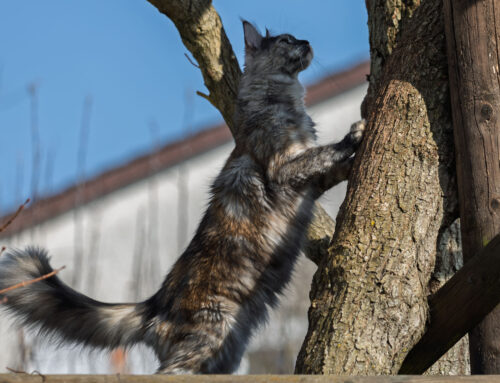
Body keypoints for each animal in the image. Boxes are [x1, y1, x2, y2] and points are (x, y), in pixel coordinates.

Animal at [0, 21, 364, 376]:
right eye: (287, 40)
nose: (307, 41)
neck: (284, 103)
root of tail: (155, 304)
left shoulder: (309, 185)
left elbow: (327, 167)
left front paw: (350, 163)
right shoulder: (283, 167)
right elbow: (322, 153)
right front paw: (353, 136)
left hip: (225, 352)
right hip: (207, 337)